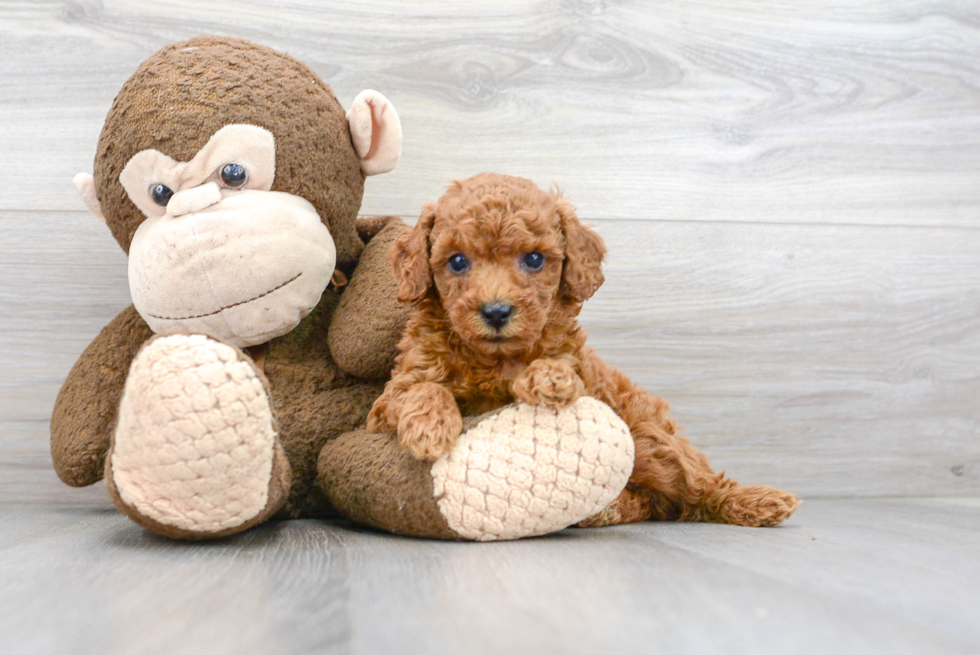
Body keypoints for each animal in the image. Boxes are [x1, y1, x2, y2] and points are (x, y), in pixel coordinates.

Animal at [368, 174, 796, 528]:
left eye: (534, 259)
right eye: (457, 261)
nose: (496, 311)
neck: (494, 360)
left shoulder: (578, 370)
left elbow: (557, 368)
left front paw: (548, 377)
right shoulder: (391, 398)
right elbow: (423, 389)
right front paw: (430, 427)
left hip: (650, 441)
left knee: (697, 487)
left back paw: (756, 502)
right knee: (652, 503)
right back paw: (606, 510)